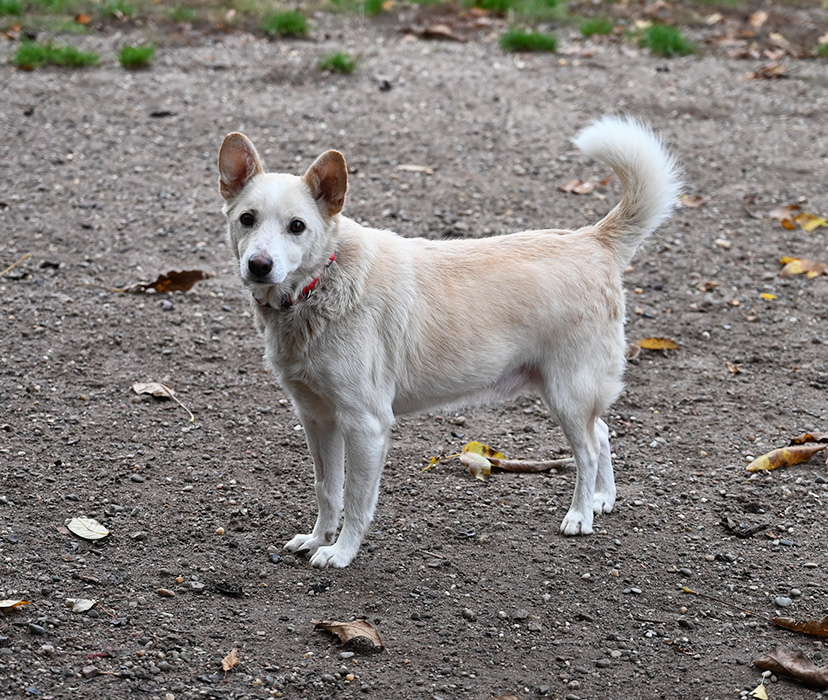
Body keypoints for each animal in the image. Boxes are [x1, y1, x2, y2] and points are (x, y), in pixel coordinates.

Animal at [218, 116, 681, 568]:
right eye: (247, 219)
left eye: (297, 227)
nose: (259, 265)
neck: (319, 285)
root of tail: (592, 240)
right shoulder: (318, 419)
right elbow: (327, 490)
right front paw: (317, 539)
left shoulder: (366, 425)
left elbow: (356, 499)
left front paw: (342, 552)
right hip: (572, 392)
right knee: (601, 434)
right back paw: (603, 498)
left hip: (567, 393)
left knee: (586, 451)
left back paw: (581, 514)